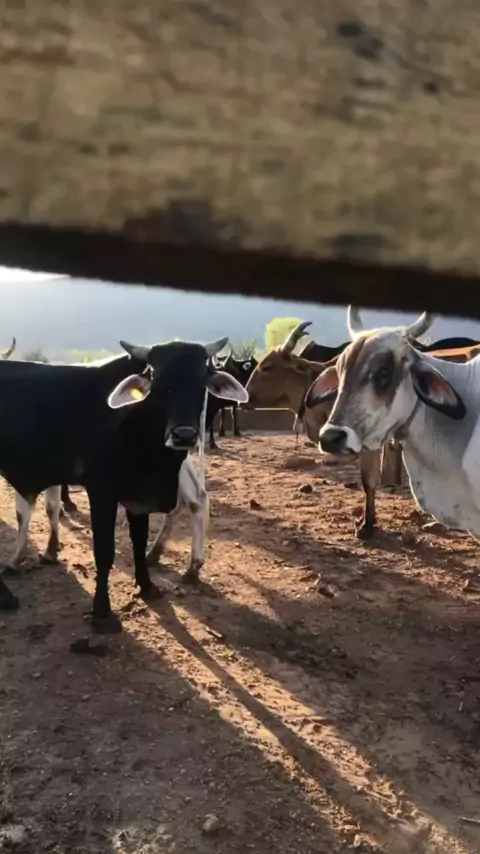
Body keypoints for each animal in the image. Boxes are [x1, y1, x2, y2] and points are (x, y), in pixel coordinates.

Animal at [0, 338, 248, 634]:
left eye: (201, 382)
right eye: (156, 381)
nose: (184, 435)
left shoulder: (137, 497)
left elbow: (137, 541)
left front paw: (147, 585)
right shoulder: (101, 492)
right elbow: (103, 550)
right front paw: (102, 610)